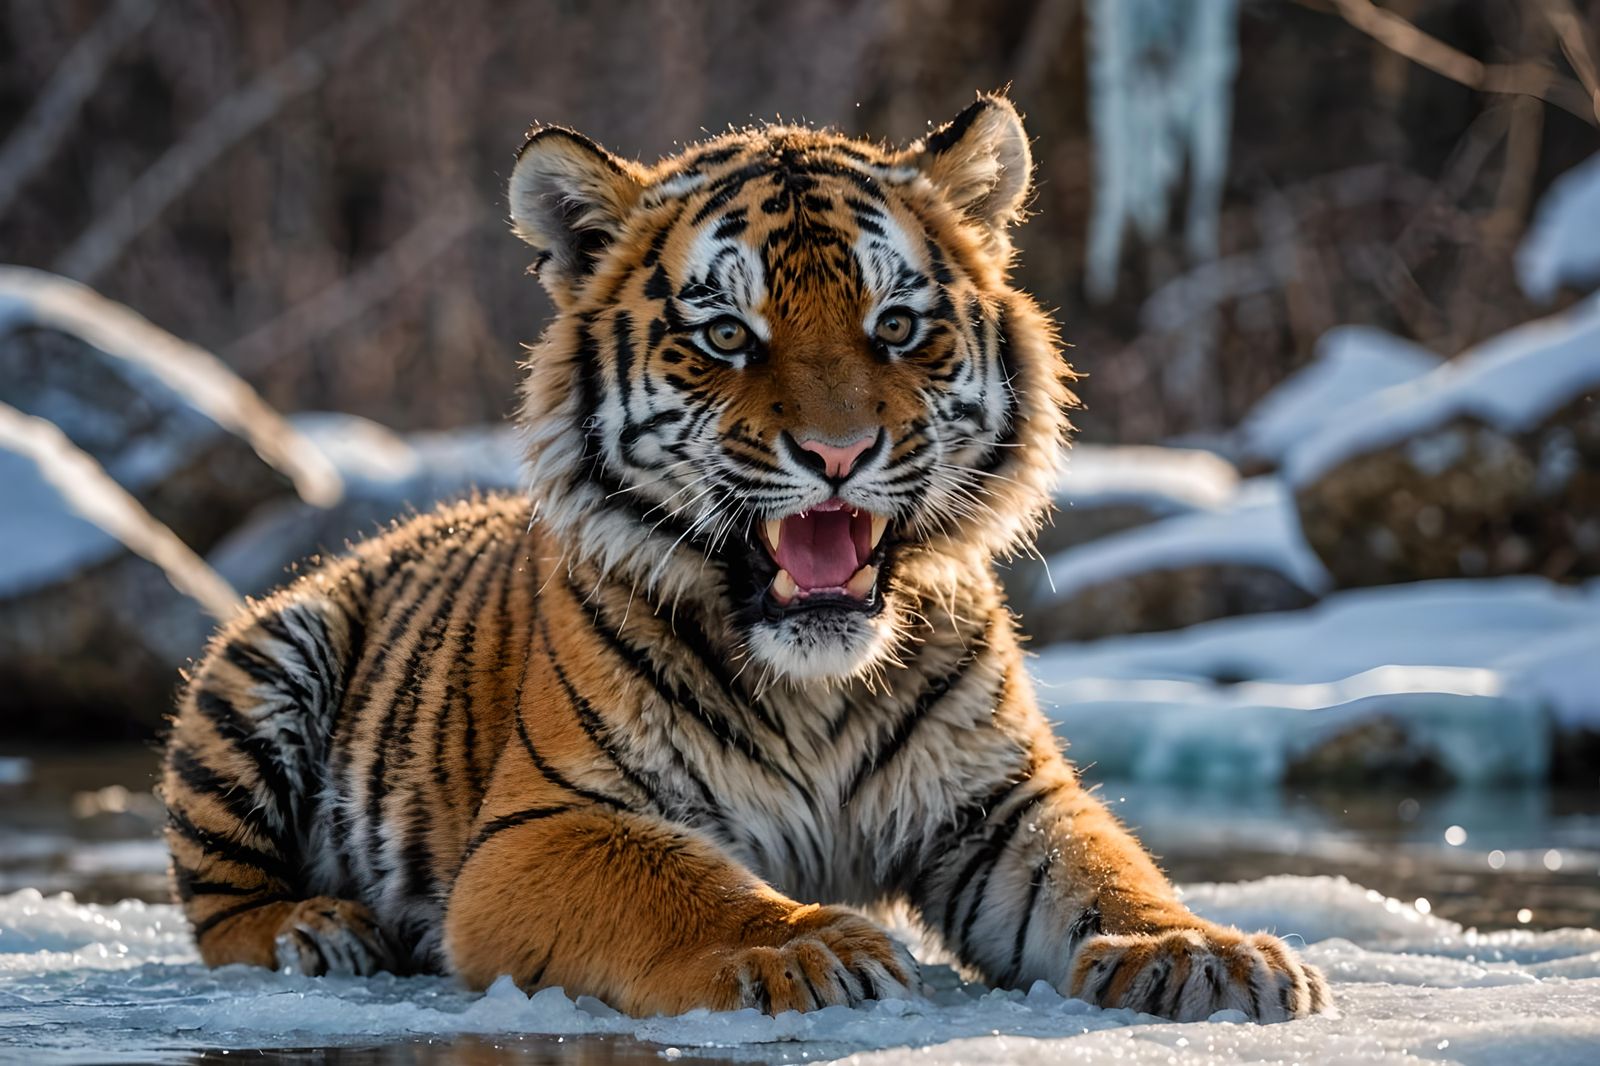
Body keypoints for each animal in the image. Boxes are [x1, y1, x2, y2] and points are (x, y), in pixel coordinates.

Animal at [161, 93, 1331, 1022]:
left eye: (895, 325)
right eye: (727, 336)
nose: (838, 453)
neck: (819, 684)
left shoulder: (1001, 801)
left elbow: (1105, 866)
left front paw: (1196, 952)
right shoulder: (552, 822)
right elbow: (681, 886)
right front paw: (803, 945)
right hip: (264, 660)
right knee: (219, 902)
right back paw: (314, 931)